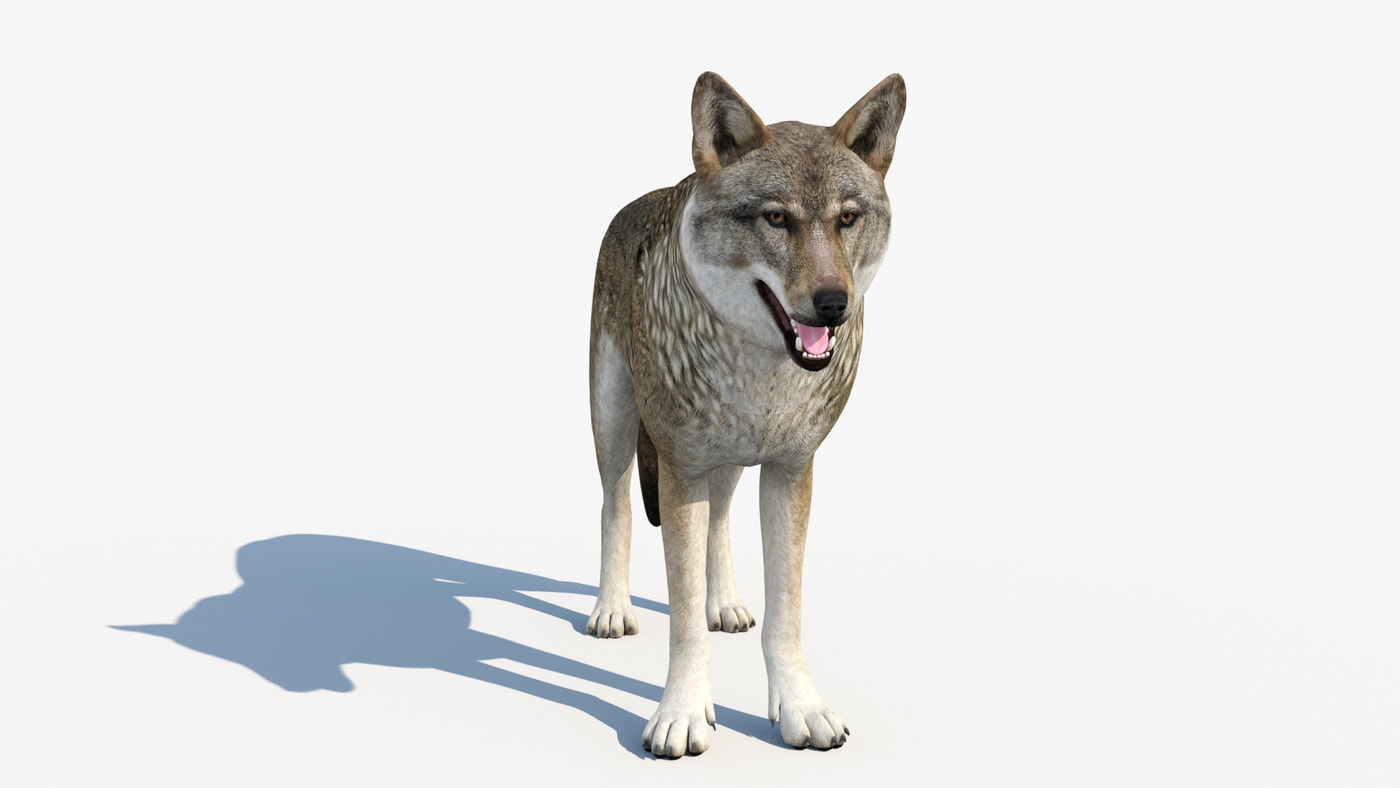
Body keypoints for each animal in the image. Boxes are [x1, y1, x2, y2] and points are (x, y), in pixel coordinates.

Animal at [586, 72, 906, 758]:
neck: (762, 375)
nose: (833, 304)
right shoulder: (680, 469)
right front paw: (680, 716)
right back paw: (611, 611)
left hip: (727, 462)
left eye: (847, 218)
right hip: (614, 422)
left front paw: (800, 710)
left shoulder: (789, 470)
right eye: (776, 218)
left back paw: (725, 605)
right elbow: (681, 622)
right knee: (615, 506)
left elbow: (785, 611)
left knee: (721, 519)